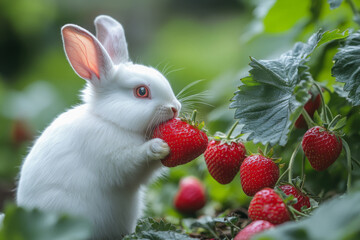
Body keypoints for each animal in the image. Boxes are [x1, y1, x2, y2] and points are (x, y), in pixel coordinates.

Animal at [15, 15, 181, 240]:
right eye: (141, 91)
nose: (175, 108)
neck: (109, 120)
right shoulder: (114, 158)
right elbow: (133, 160)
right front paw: (158, 147)